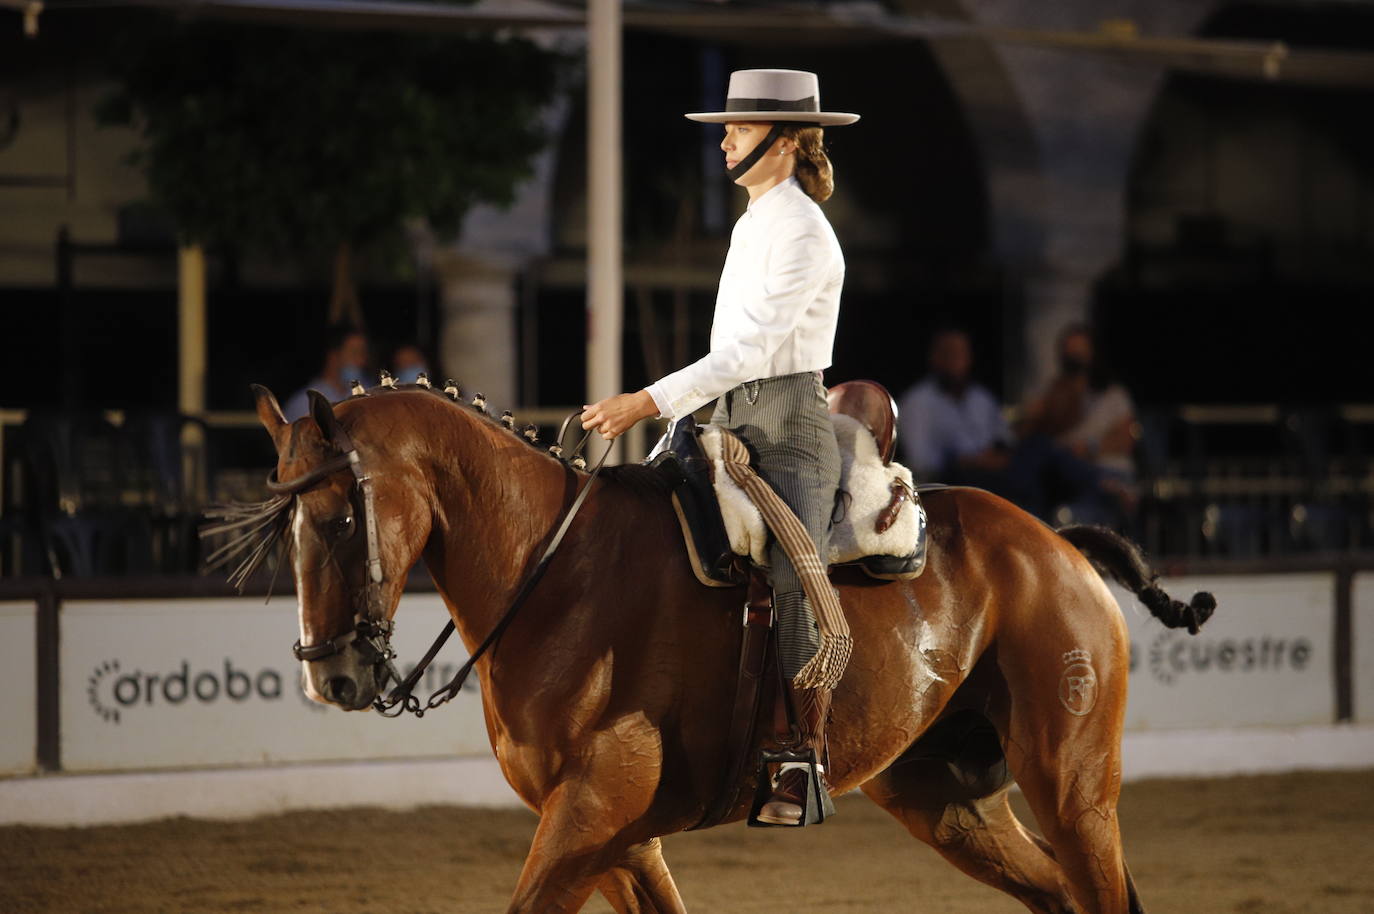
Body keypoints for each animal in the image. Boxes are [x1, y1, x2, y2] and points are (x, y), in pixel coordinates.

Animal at [236, 382, 1214, 907]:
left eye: (336, 517)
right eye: (283, 522)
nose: (334, 676)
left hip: (1074, 788)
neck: (554, 576)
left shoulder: (589, 813)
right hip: (948, 797)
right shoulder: (617, 839)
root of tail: (1056, 544)